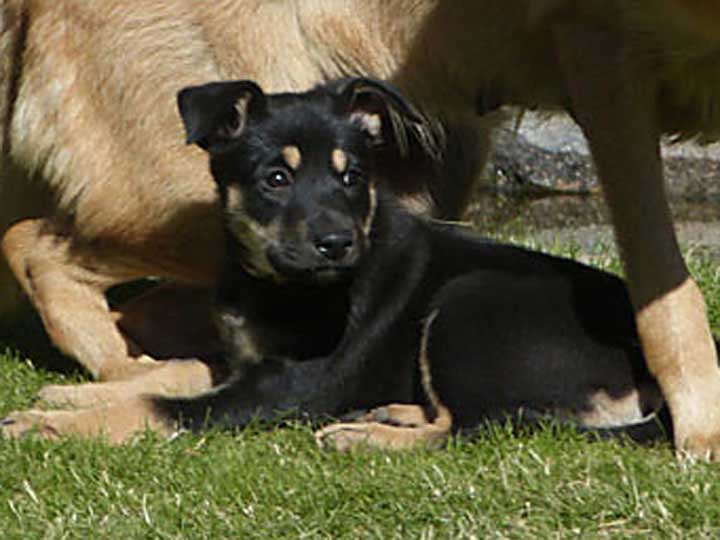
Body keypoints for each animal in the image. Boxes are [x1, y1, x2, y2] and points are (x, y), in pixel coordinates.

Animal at [1, 0, 720, 458]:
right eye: (275, 177)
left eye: (352, 178)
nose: (337, 245)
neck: (272, 285)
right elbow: (181, 375)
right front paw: (70, 399)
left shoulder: (281, 386)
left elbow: (160, 406)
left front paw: (55, 422)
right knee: (41, 248)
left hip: (464, 296)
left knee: (485, 426)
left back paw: (367, 434)